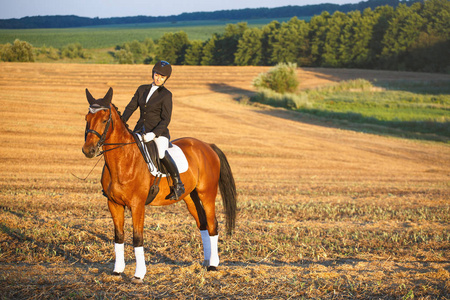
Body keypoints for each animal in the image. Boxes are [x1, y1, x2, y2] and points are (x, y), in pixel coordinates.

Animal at [81, 87, 237, 284]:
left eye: (104, 119)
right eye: (86, 118)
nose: (88, 150)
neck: (123, 160)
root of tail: (207, 146)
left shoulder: (137, 205)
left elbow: (137, 238)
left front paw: (139, 275)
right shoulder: (113, 204)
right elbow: (119, 236)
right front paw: (117, 271)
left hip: (206, 194)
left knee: (212, 224)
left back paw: (213, 265)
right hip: (190, 197)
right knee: (202, 223)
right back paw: (206, 261)